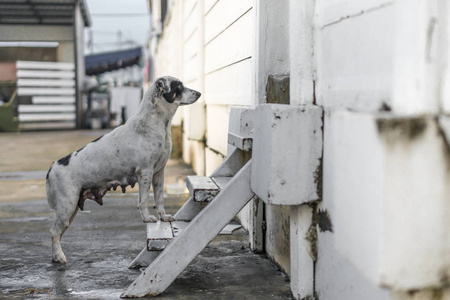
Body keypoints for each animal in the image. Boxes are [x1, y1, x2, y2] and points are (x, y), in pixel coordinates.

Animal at [46, 76, 200, 264]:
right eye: (179, 87)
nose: (199, 93)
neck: (154, 122)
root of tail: (53, 167)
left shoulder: (159, 173)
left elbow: (159, 199)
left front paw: (163, 217)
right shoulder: (145, 172)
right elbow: (143, 201)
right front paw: (147, 218)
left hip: (71, 207)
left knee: (59, 233)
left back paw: (56, 256)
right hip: (67, 206)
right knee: (54, 232)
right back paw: (58, 256)